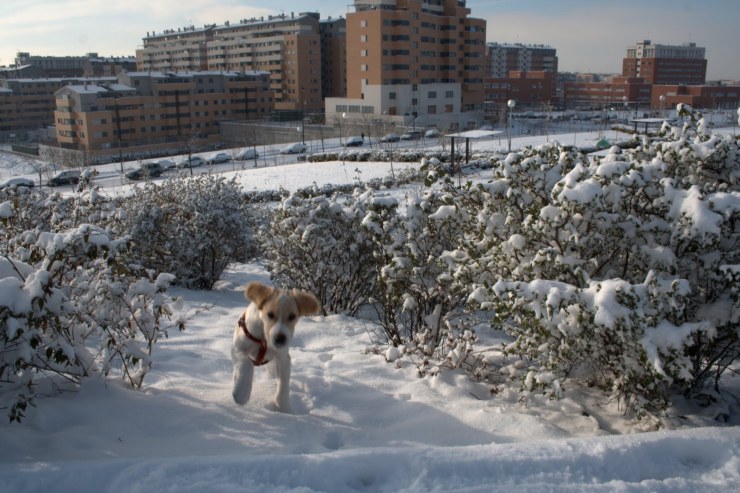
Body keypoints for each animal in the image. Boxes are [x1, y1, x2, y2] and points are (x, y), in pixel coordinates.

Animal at [230, 280, 320, 412]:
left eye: (292, 316)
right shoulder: (238, 348)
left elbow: (283, 387)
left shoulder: (283, 358)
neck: (264, 339)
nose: (280, 339)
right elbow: (246, 363)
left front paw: (285, 409)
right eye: (270, 314)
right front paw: (242, 393)